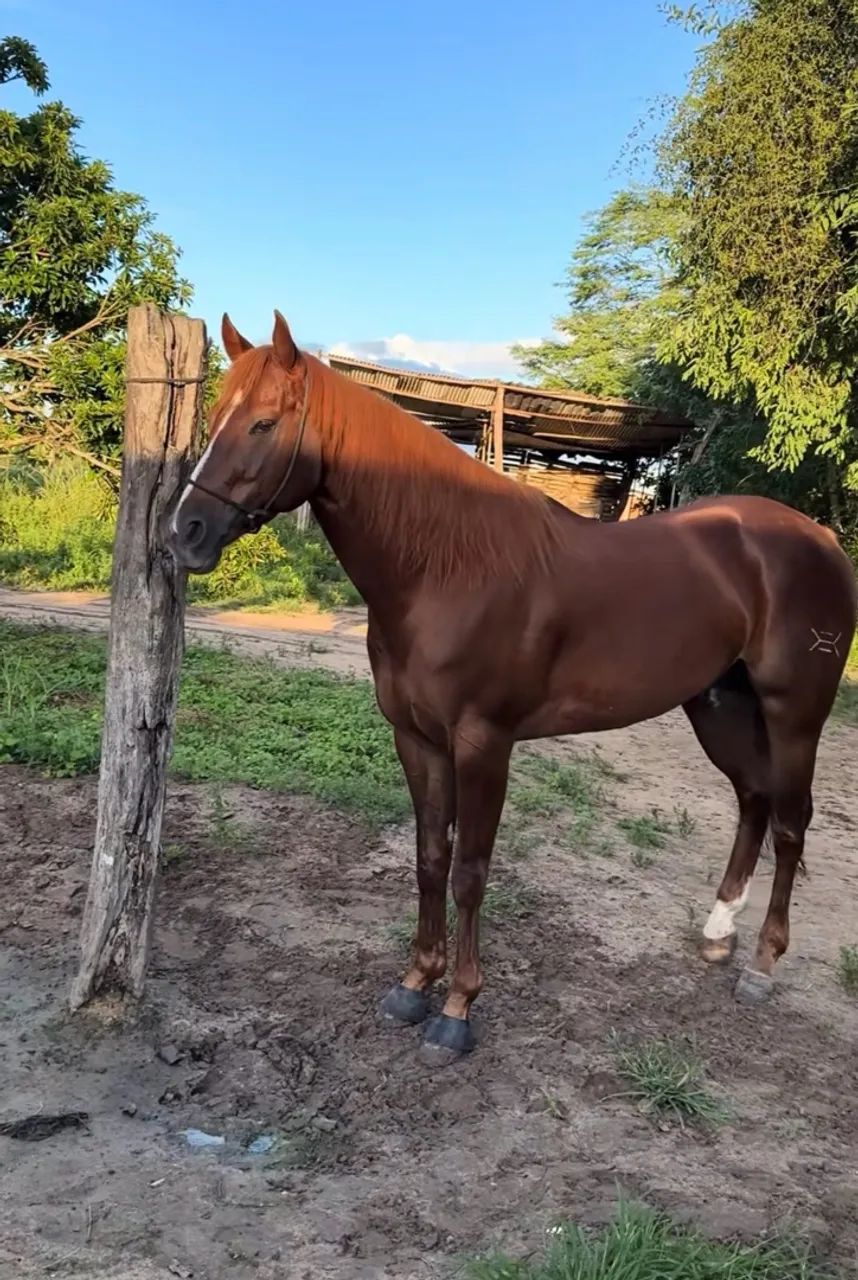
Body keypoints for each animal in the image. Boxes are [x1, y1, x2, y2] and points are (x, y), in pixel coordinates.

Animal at [171, 311, 858, 1068]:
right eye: (215, 416)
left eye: (264, 423)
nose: (185, 532)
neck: (445, 568)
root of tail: (822, 539)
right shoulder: (415, 739)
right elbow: (429, 859)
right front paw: (414, 985)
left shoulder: (484, 745)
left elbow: (470, 870)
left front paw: (456, 1010)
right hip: (719, 706)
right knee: (753, 802)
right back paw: (717, 934)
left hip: (794, 714)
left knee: (791, 823)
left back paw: (762, 965)